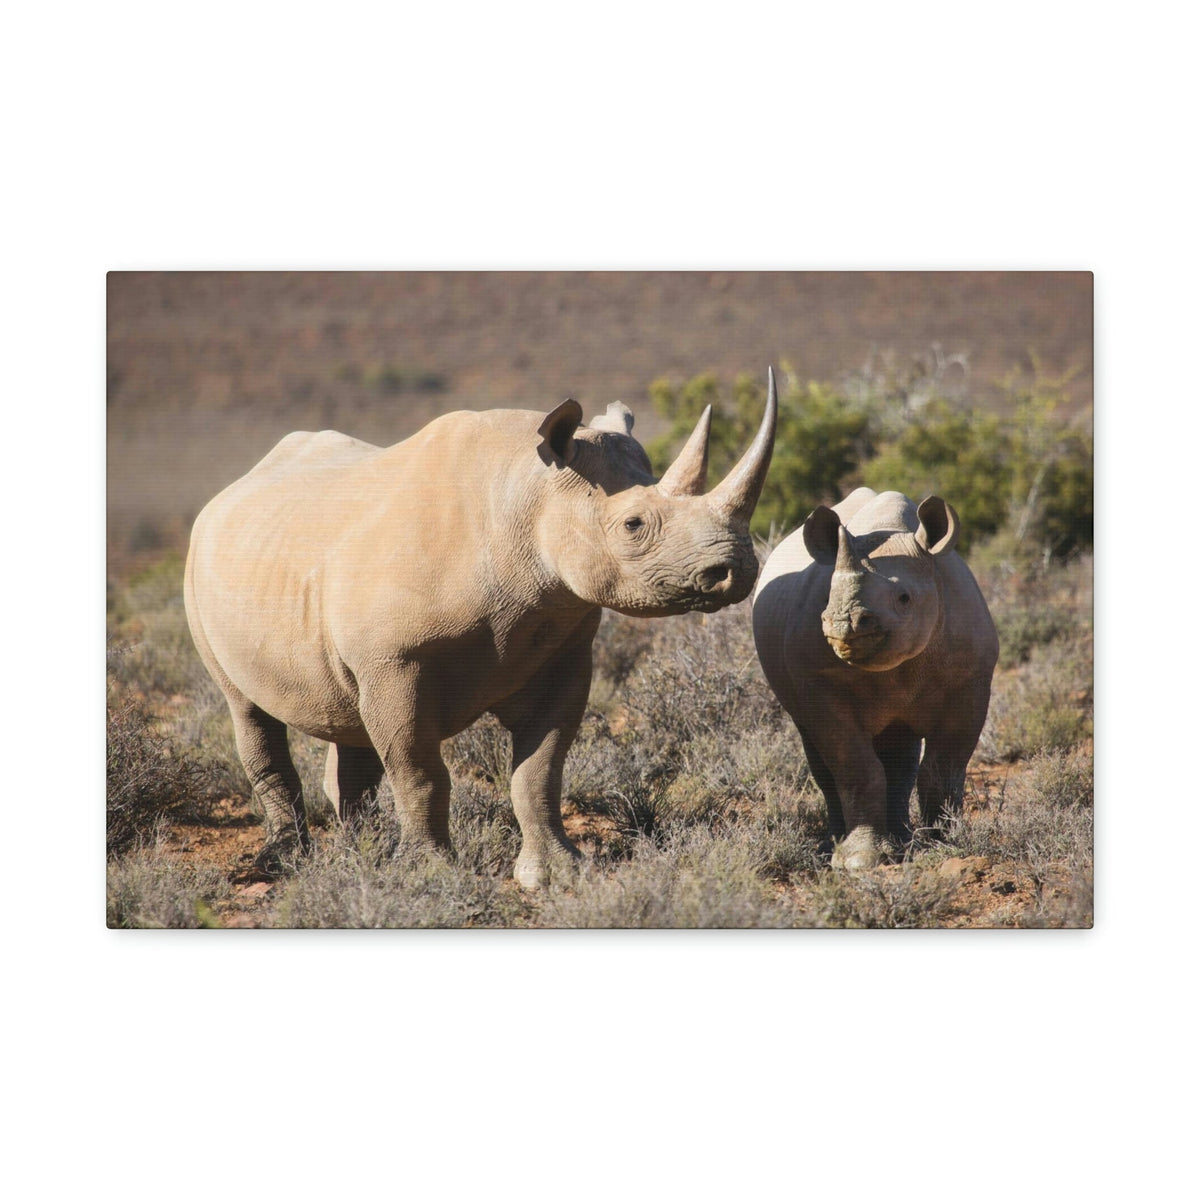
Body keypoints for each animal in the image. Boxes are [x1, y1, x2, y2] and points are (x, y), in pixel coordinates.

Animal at [185, 369, 777, 886]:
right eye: (633, 525)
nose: (737, 569)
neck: (528, 498)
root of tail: (233, 488)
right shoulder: (395, 663)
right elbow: (420, 772)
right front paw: (428, 874)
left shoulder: (562, 649)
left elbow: (540, 770)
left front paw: (556, 874)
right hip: (201, 568)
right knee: (247, 707)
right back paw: (287, 861)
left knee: (347, 719)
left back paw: (362, 852)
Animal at [752, 487, 998, 869]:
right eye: (828, 596)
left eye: (904, 598)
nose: (843, 622)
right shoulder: (819, 686)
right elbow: (855, 767)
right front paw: (860, 861)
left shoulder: (970, 682)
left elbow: (943, 768)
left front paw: (945, 845)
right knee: (820, 752)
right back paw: (837, 848)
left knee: (900, 750)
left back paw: (903, 843)